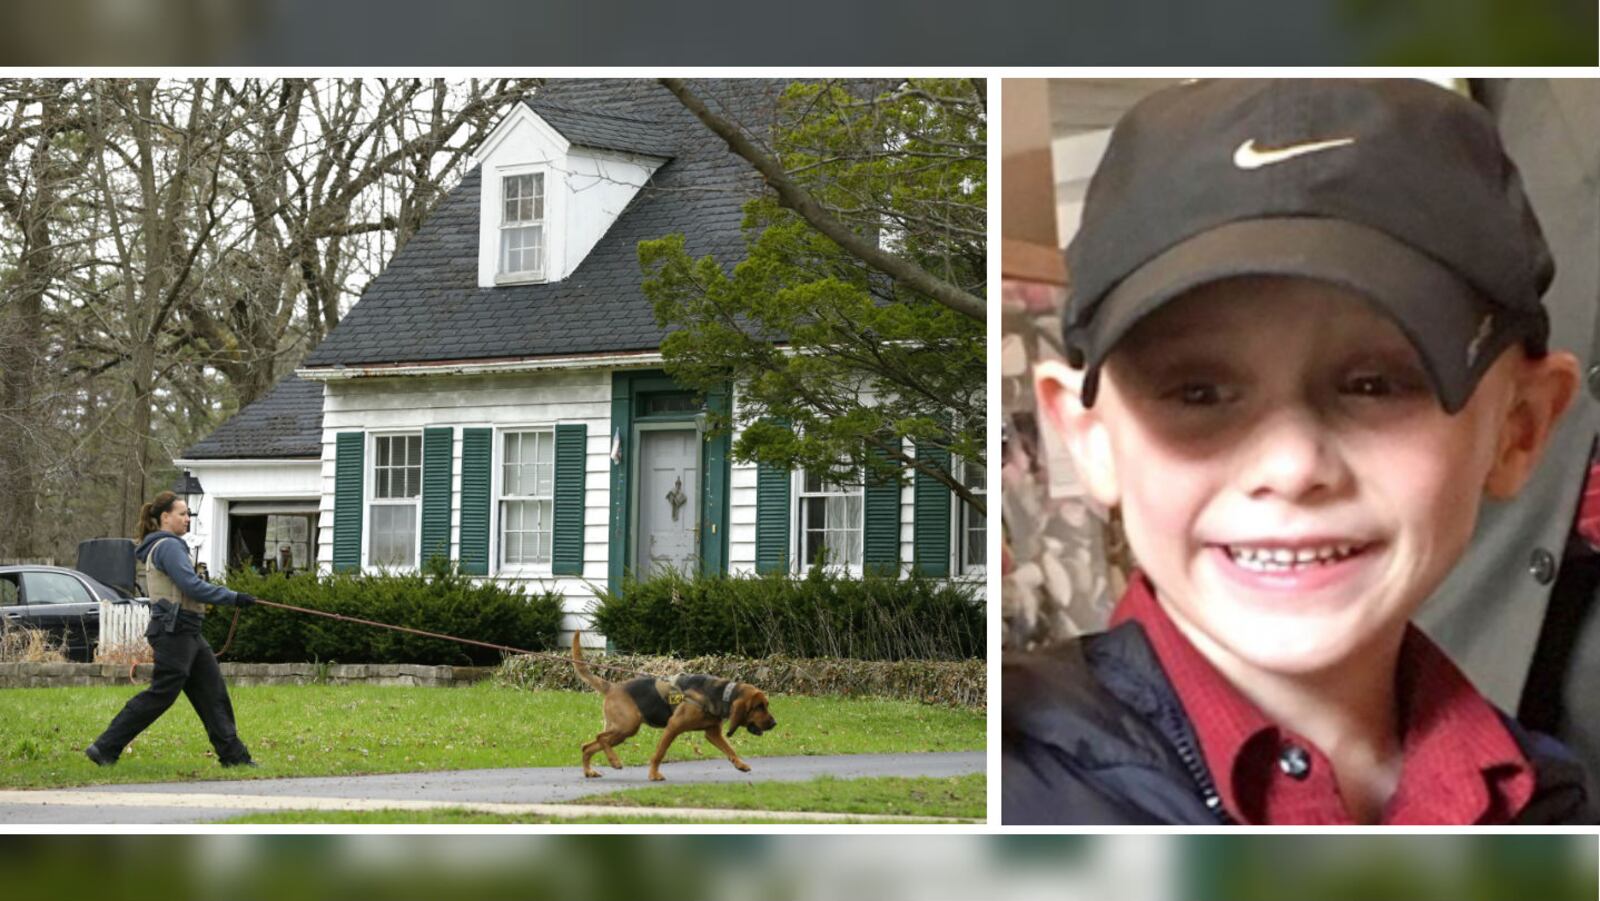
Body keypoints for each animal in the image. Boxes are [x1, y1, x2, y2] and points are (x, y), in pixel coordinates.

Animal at [572, 630, 777, 777]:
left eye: (766, 705)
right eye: (758, 707)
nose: (774, 723)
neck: (721, 694)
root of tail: (613, 686)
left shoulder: (713, 733)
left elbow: (730, 749)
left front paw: (740, 764)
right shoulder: (673, 727)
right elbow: (659, 754)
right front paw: (654, 775)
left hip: (621, 731)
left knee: (588, 746)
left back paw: (589, 771)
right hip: (627, 726)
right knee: (600, 737)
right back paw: (614, 761)